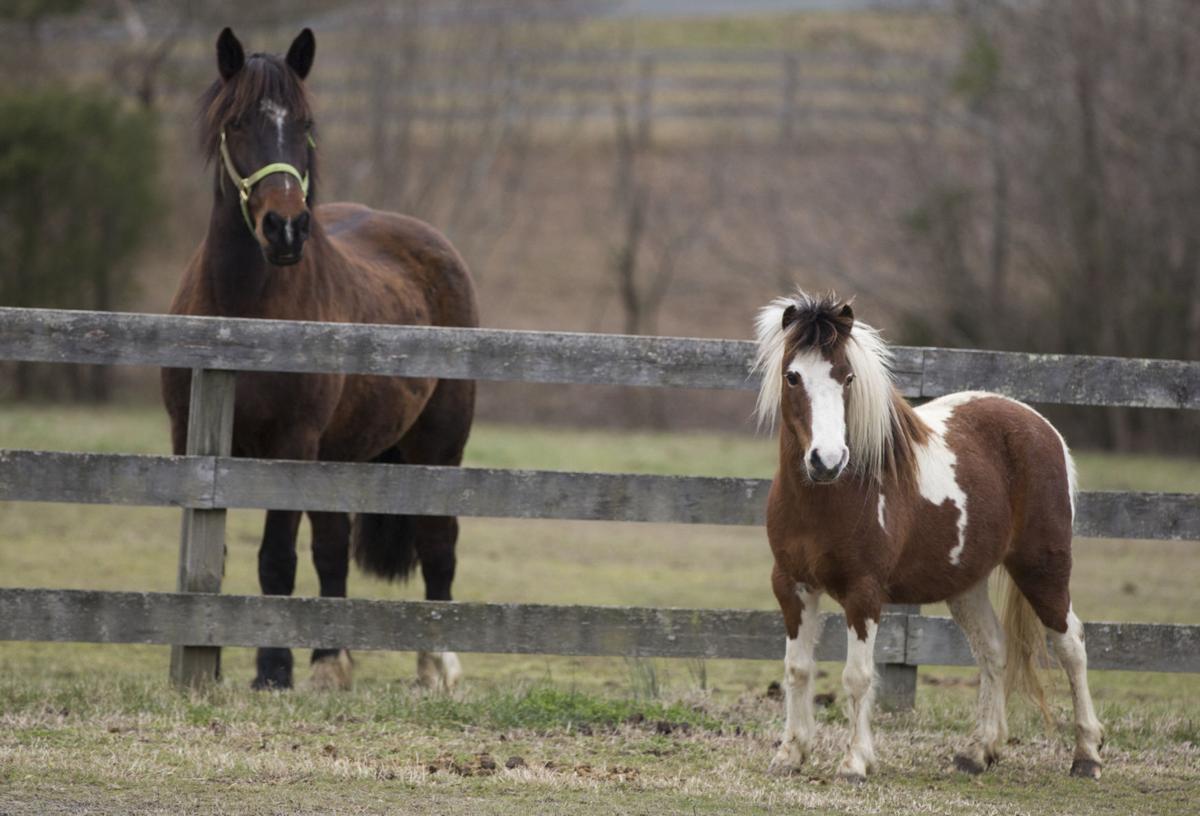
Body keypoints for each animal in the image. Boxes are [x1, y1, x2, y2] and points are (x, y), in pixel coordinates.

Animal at [161, 28, 478, 692]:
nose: (285, 228)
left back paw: (436, 665)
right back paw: (331, 662)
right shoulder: (191, 443)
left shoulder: (291, 443)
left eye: (305, 125)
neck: (243, 317)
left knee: (439, 544)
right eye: (237, 123)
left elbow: (275, 560)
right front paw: (207, 662)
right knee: (333, 549)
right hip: (339, 455)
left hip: (437, 447)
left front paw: (272, 671)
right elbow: (211, 554)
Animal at [753, 291, 1104, 782]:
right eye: (792, 376)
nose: (827, 460)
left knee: (1071, 644)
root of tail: (1040, 425)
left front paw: (855, 762)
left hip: (1043, 568)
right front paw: (790, 754)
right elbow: (797, 668)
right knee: (992, 649)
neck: (828, 497)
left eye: (847, 377)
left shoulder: (864, 593)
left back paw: (1087, 755)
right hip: (967, 583)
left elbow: (857, 677)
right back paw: (979, 751)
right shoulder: (791, 585)